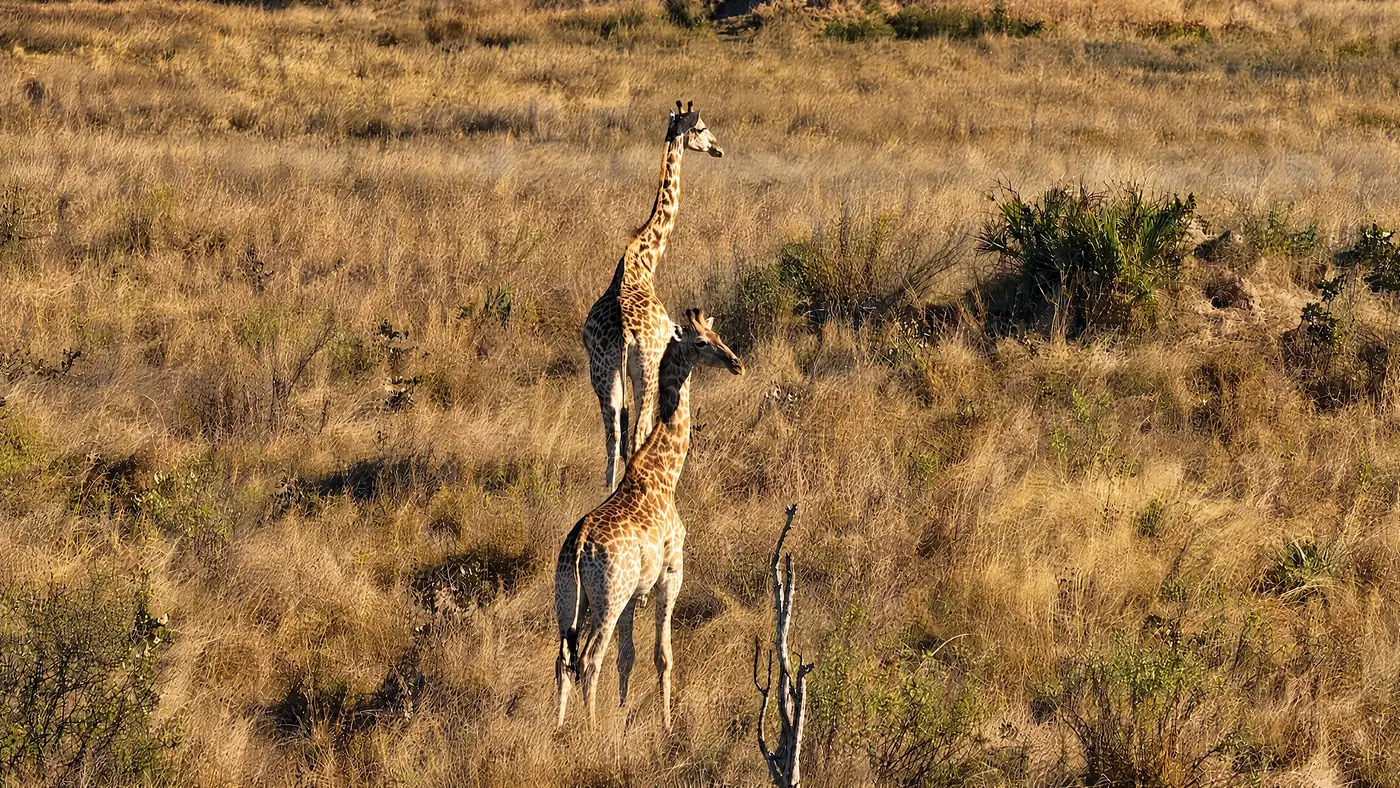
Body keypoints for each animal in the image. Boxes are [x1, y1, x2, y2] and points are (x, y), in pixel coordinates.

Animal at [556, 308, 743, 731]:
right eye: (702, 342)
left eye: (718, 335)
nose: (736, 363)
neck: (665, 473)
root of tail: (579, 547)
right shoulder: (670, 574)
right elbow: (662, 655)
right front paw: (666, 724)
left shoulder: (633, 595)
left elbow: (627, 657)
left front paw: (626, 714)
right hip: (607, 599)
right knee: (589, 660)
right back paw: (591, 731)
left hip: (569, 601)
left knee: (563, 660)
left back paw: (556, 728)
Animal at [582, 100, 724, 491]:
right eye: (702, 127)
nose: (718, 148)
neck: (644, 259)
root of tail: (625, 335)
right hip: (643, 370)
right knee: (636, 433)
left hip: (602, 373)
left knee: (612, 438)